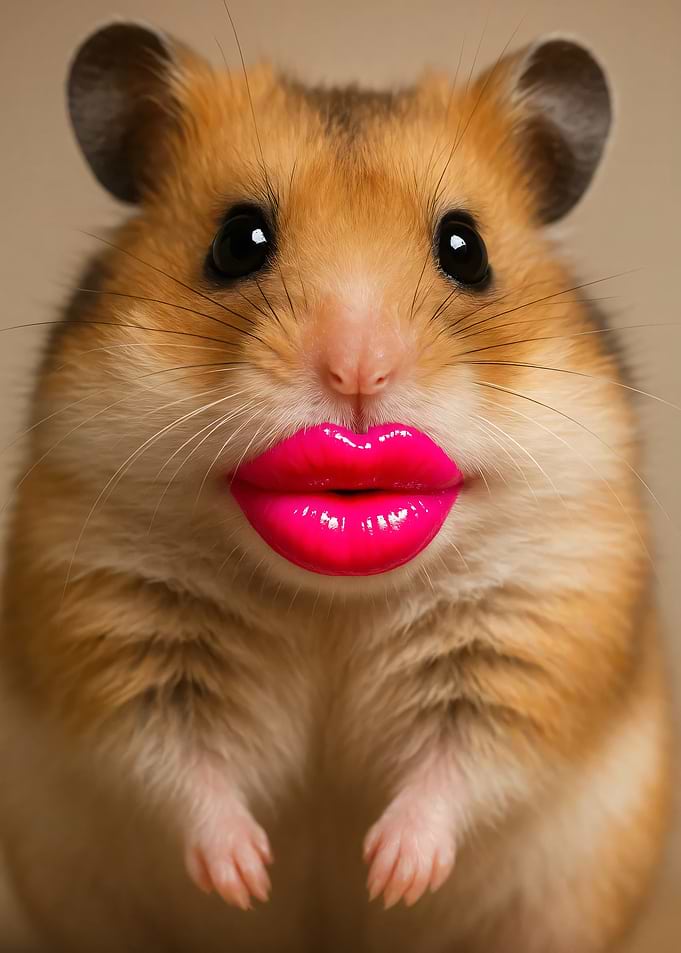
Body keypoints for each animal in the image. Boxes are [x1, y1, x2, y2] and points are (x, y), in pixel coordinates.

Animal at [0, 20, 672, 953]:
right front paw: (248, 878)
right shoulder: (107, 617)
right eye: (237, 240)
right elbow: (180, 767)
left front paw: (387, 874)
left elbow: (462, 765)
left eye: (466, 249)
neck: (332, 600)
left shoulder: (544, 623)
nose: (357, 370)